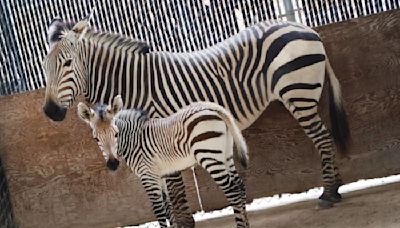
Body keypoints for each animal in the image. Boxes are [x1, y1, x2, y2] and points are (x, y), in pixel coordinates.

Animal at [76, 95, 248, 227]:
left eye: (116, 134)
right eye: (96, 138)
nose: (113, 164)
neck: (134, 141)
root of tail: (213, 107)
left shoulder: (147, 176)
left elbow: (159, 210)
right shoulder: (159, 175)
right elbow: (168, 207)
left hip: (209, 156)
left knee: (232, 191)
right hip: (225, 154)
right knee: (239, 187)